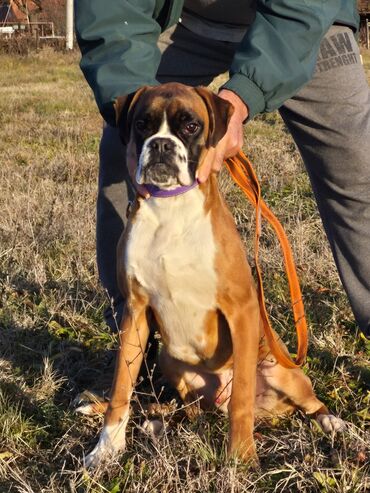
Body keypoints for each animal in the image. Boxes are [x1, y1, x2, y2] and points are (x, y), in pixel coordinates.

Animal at [78, 82, 344, 468]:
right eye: (142, 124)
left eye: (190, 126)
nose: (161, 144)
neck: (170, 208)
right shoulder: (135, 313)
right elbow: (121, 387)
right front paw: (106, 448)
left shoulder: (242, 310)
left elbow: (242, 400)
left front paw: (242, 457)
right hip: (170, 360)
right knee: (186, 409)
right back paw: (158, 421)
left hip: (282, 371)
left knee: (305, 403)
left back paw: (331, 422)